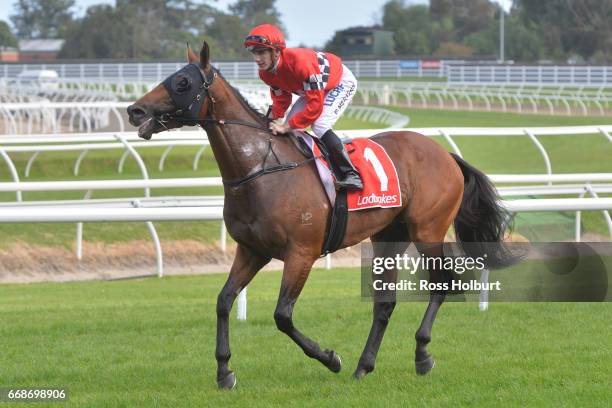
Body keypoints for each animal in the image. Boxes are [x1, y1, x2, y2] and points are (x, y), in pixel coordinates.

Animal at [126, 43, 510, 390]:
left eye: (182, 83)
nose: (134, 110)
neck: (261, 169)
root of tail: (445, 154)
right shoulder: (252, 250)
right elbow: (223, 301)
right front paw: (224, 372)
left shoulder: (302, 253)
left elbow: (282, 315)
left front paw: (329, 357)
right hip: (389, 236)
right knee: (385, 303)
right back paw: (364, 366)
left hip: (427, 229)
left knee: (442, 283)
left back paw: (421, 354)